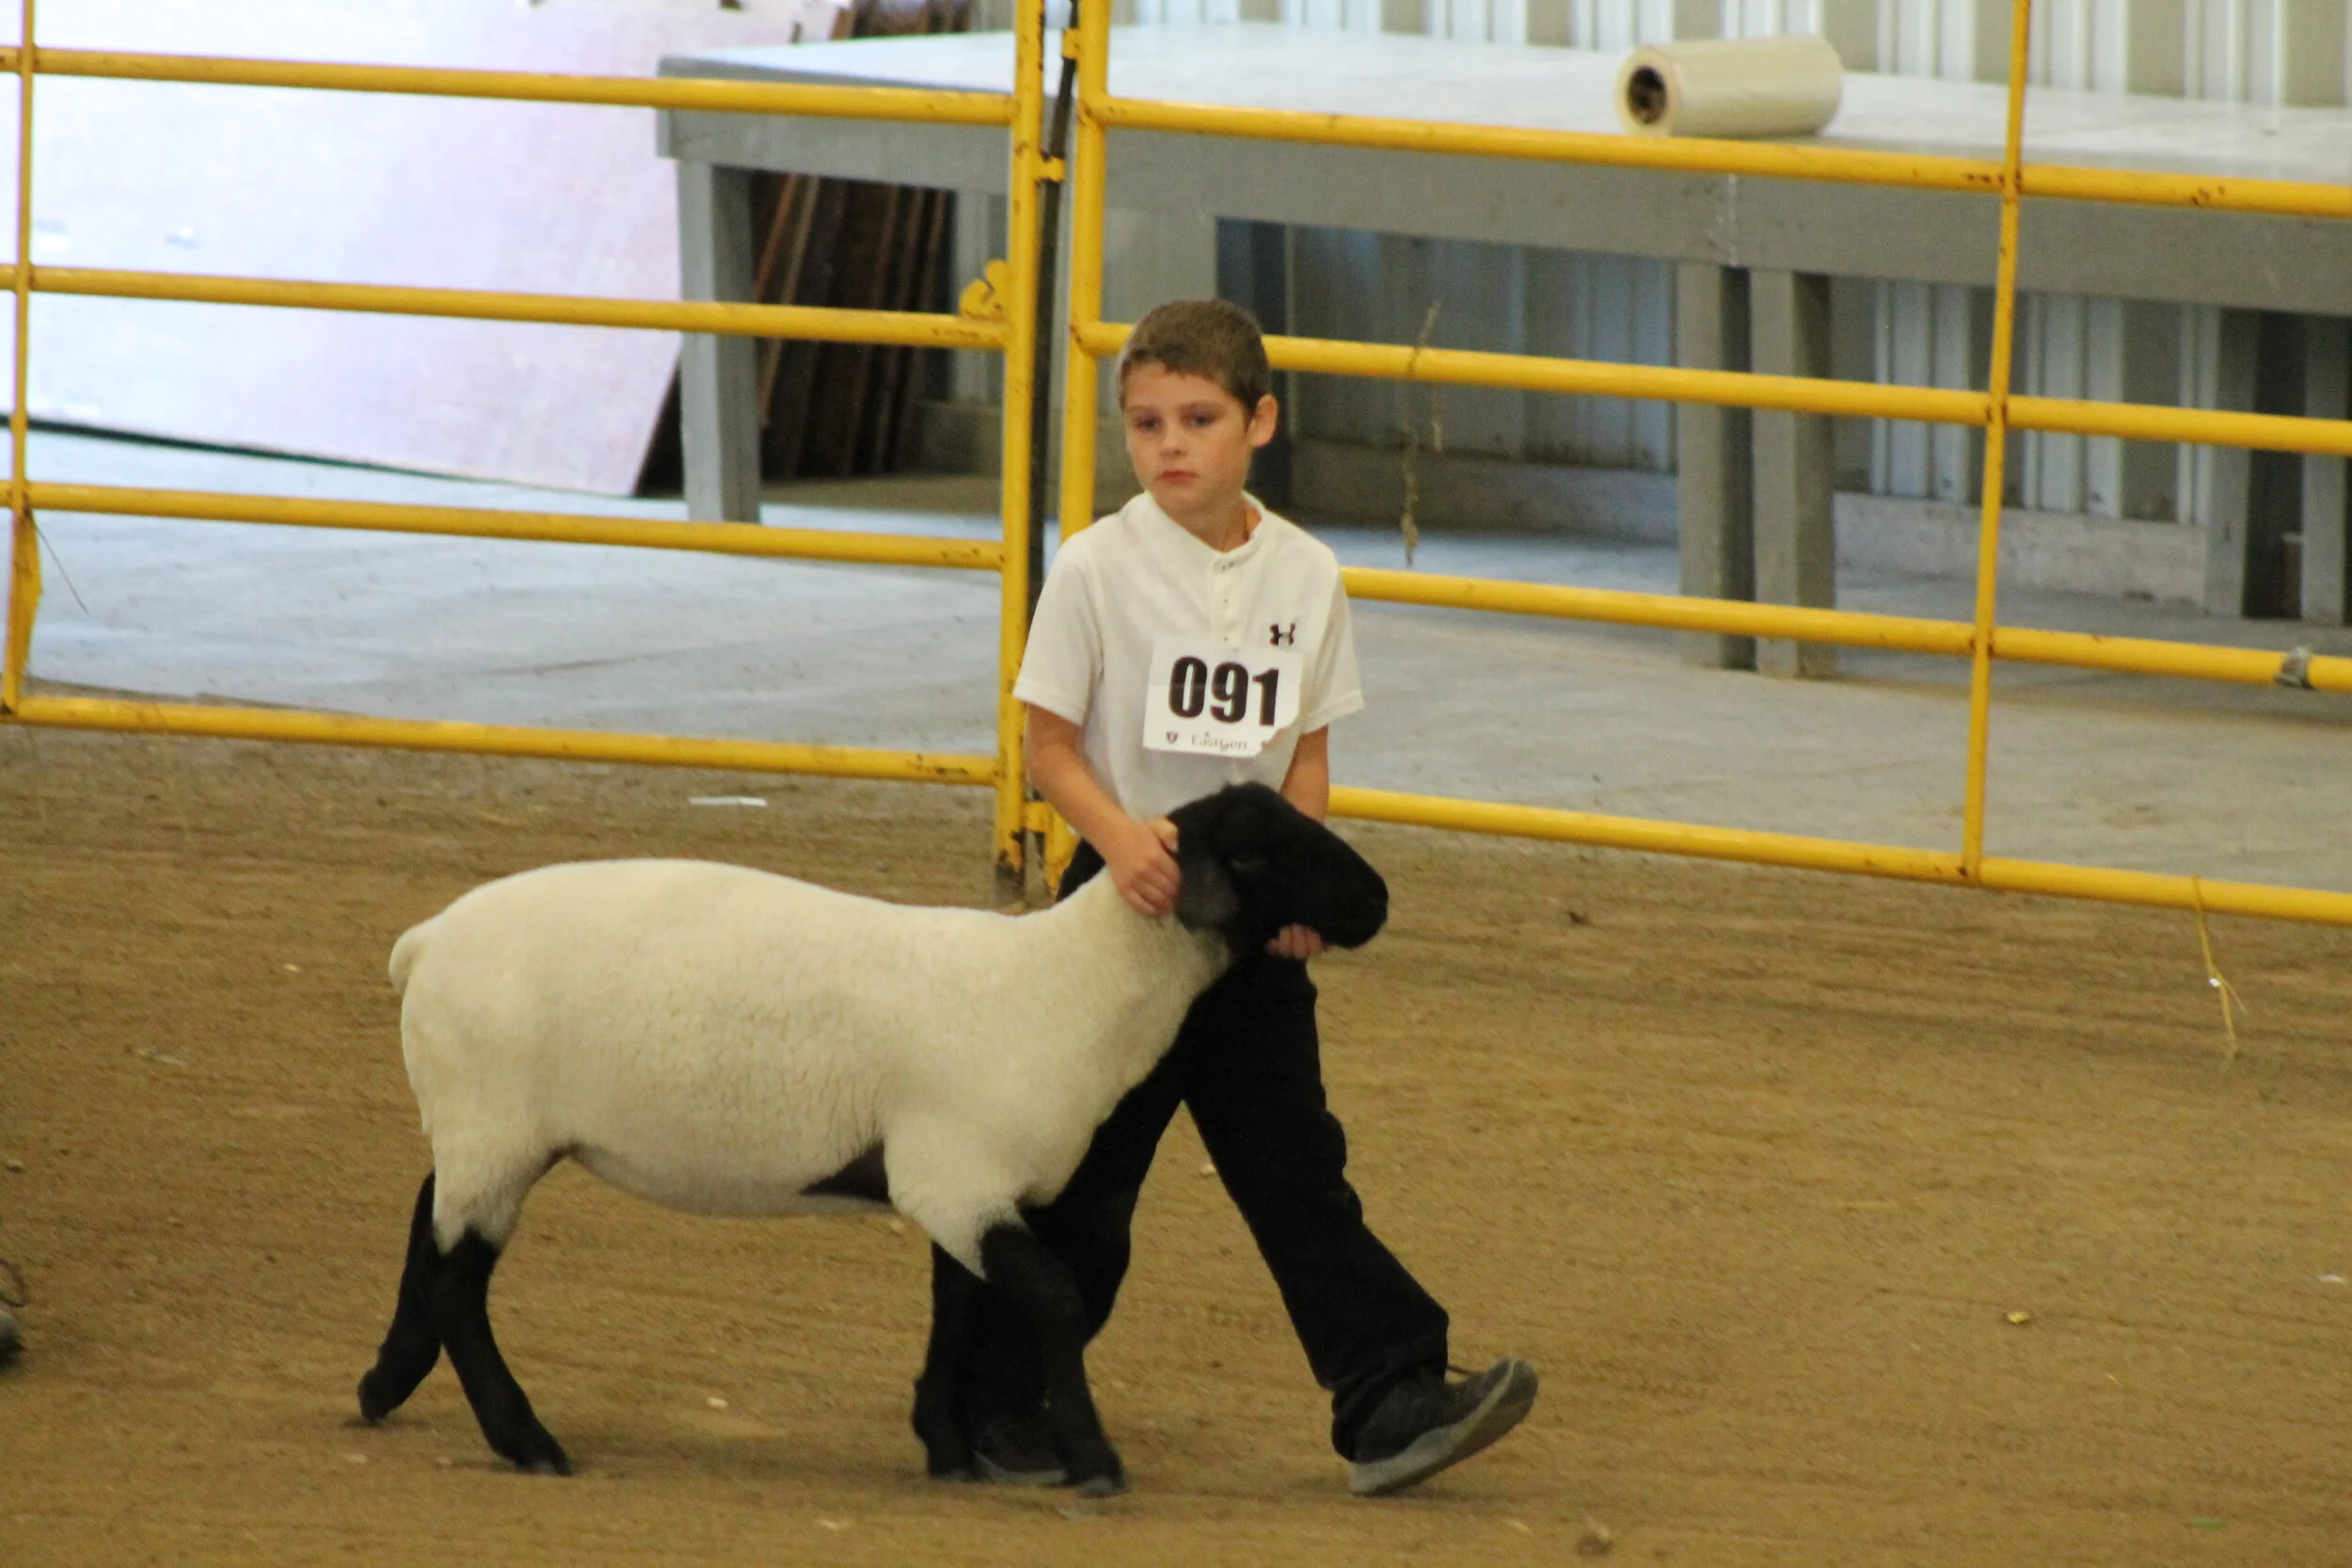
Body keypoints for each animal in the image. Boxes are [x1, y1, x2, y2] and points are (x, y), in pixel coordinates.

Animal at [353, 781, 1388, 1494]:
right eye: (1255, 853)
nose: (1378, 898)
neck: (1068, 985)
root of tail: (423, 941)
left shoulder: (955, 1180)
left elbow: (958, 1305)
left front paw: (948, 1447)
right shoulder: (956, 1175)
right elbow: (1052, 1298)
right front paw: (1093, 1457)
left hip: (480, 1126)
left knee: (425, 1223)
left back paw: (383, 1382)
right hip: (494, 1122)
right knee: (456, 1281)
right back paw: (526, 1439)